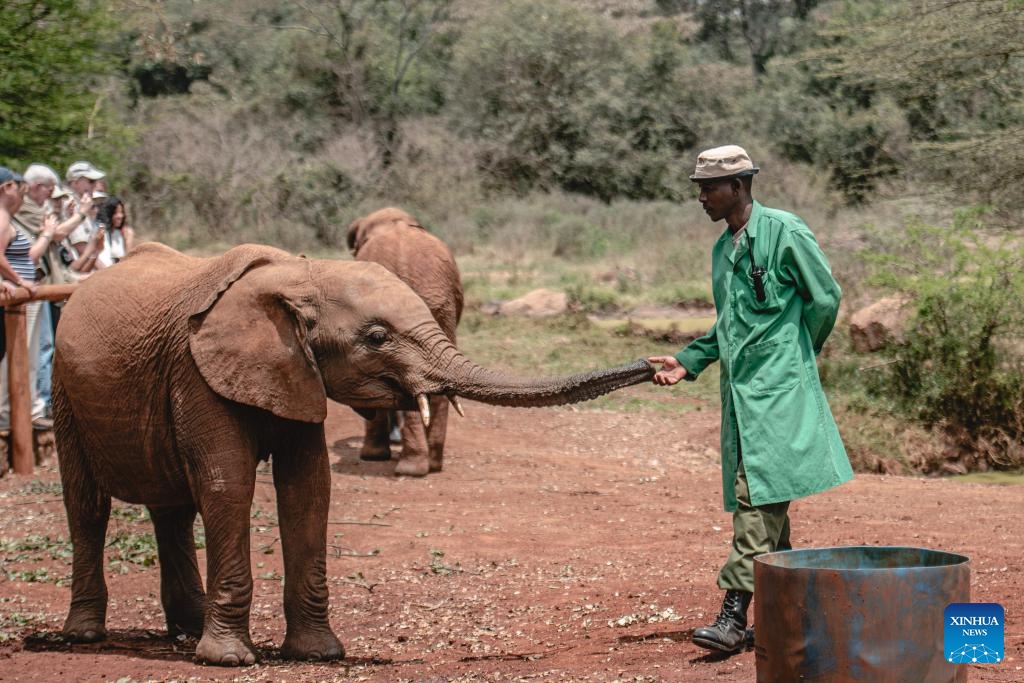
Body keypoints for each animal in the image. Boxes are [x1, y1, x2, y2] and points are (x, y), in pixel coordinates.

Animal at [51, 242, 651, 663]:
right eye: (378, 337)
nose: (653, 363)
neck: (296, 275)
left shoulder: (296, 374)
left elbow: (309, 488)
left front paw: (318, 653)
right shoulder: (196, 373)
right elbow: (228, 485)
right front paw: (229, 660)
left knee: (170, 508)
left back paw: (185, 631)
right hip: (62, 388)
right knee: (87, 507)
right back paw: (85, 635)